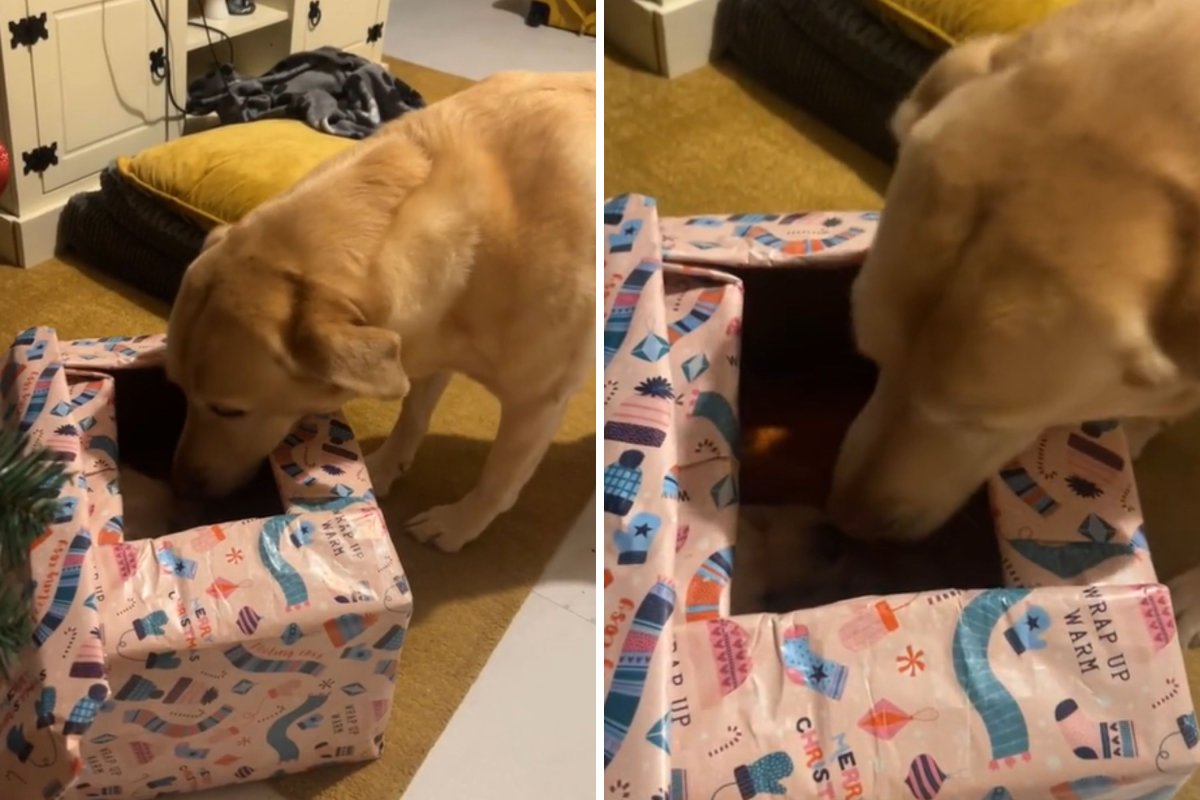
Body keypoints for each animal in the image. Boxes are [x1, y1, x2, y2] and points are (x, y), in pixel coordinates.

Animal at [166, 70, 597, 551]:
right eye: (178, 389)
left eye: (228, 411)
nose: (179, 485)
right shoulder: (428, 346)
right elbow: (412, 417)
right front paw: (384, 469)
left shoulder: (537, 403)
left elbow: (498, 481)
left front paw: (458, 524)